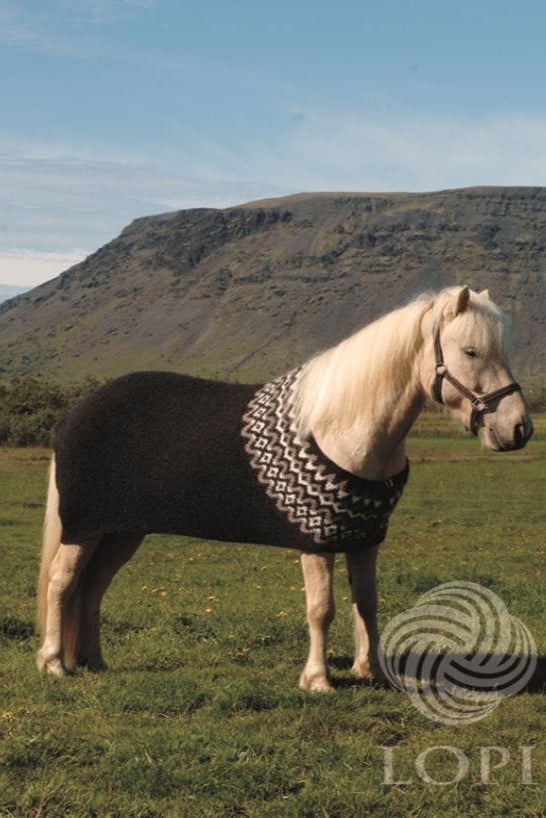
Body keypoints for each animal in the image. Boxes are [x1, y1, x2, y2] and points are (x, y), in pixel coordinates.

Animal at [36, 285, 533, 689]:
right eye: (470, 351)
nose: (518, 429)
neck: (341, 423)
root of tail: (78, 412)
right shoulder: (315, 541)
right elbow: (321, 607)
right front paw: (317, 680)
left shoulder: (364, 539)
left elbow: (367, 602)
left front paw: (369, 671)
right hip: (85, 528)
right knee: (62, 582)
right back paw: (54, 663)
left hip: (121, 532)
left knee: (93, 587)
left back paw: (94, 662)